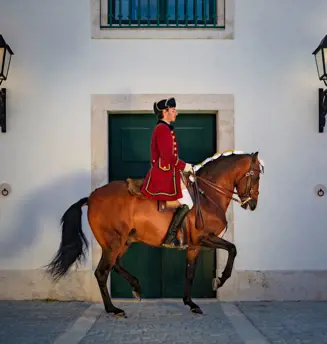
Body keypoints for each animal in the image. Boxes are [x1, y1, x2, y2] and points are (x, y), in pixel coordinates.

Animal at [45, 150, 264, 318]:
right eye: (255, 176)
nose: (252, 204)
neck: (207, 195)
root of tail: (91, 197)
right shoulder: (205, 238)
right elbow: (232, 249)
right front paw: (220, 279)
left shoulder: (194, 246)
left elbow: (190, 273)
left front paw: (190, 303)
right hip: (114, 242)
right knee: (102, 272)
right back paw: (113, 309)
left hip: (122, 242)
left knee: (114, 264)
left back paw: (136, 287)